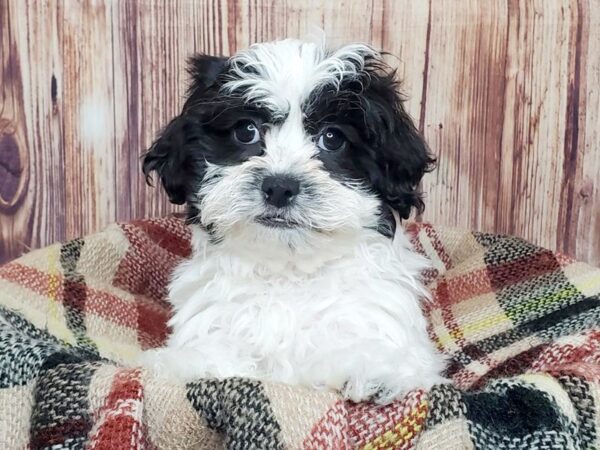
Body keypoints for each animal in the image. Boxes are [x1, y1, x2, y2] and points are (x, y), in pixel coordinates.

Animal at [141, 38, 446, 404]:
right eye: (246, 131)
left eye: (332, 138)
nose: (279, 186)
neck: (289, 273)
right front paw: (200, 362)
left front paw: (372, 368)